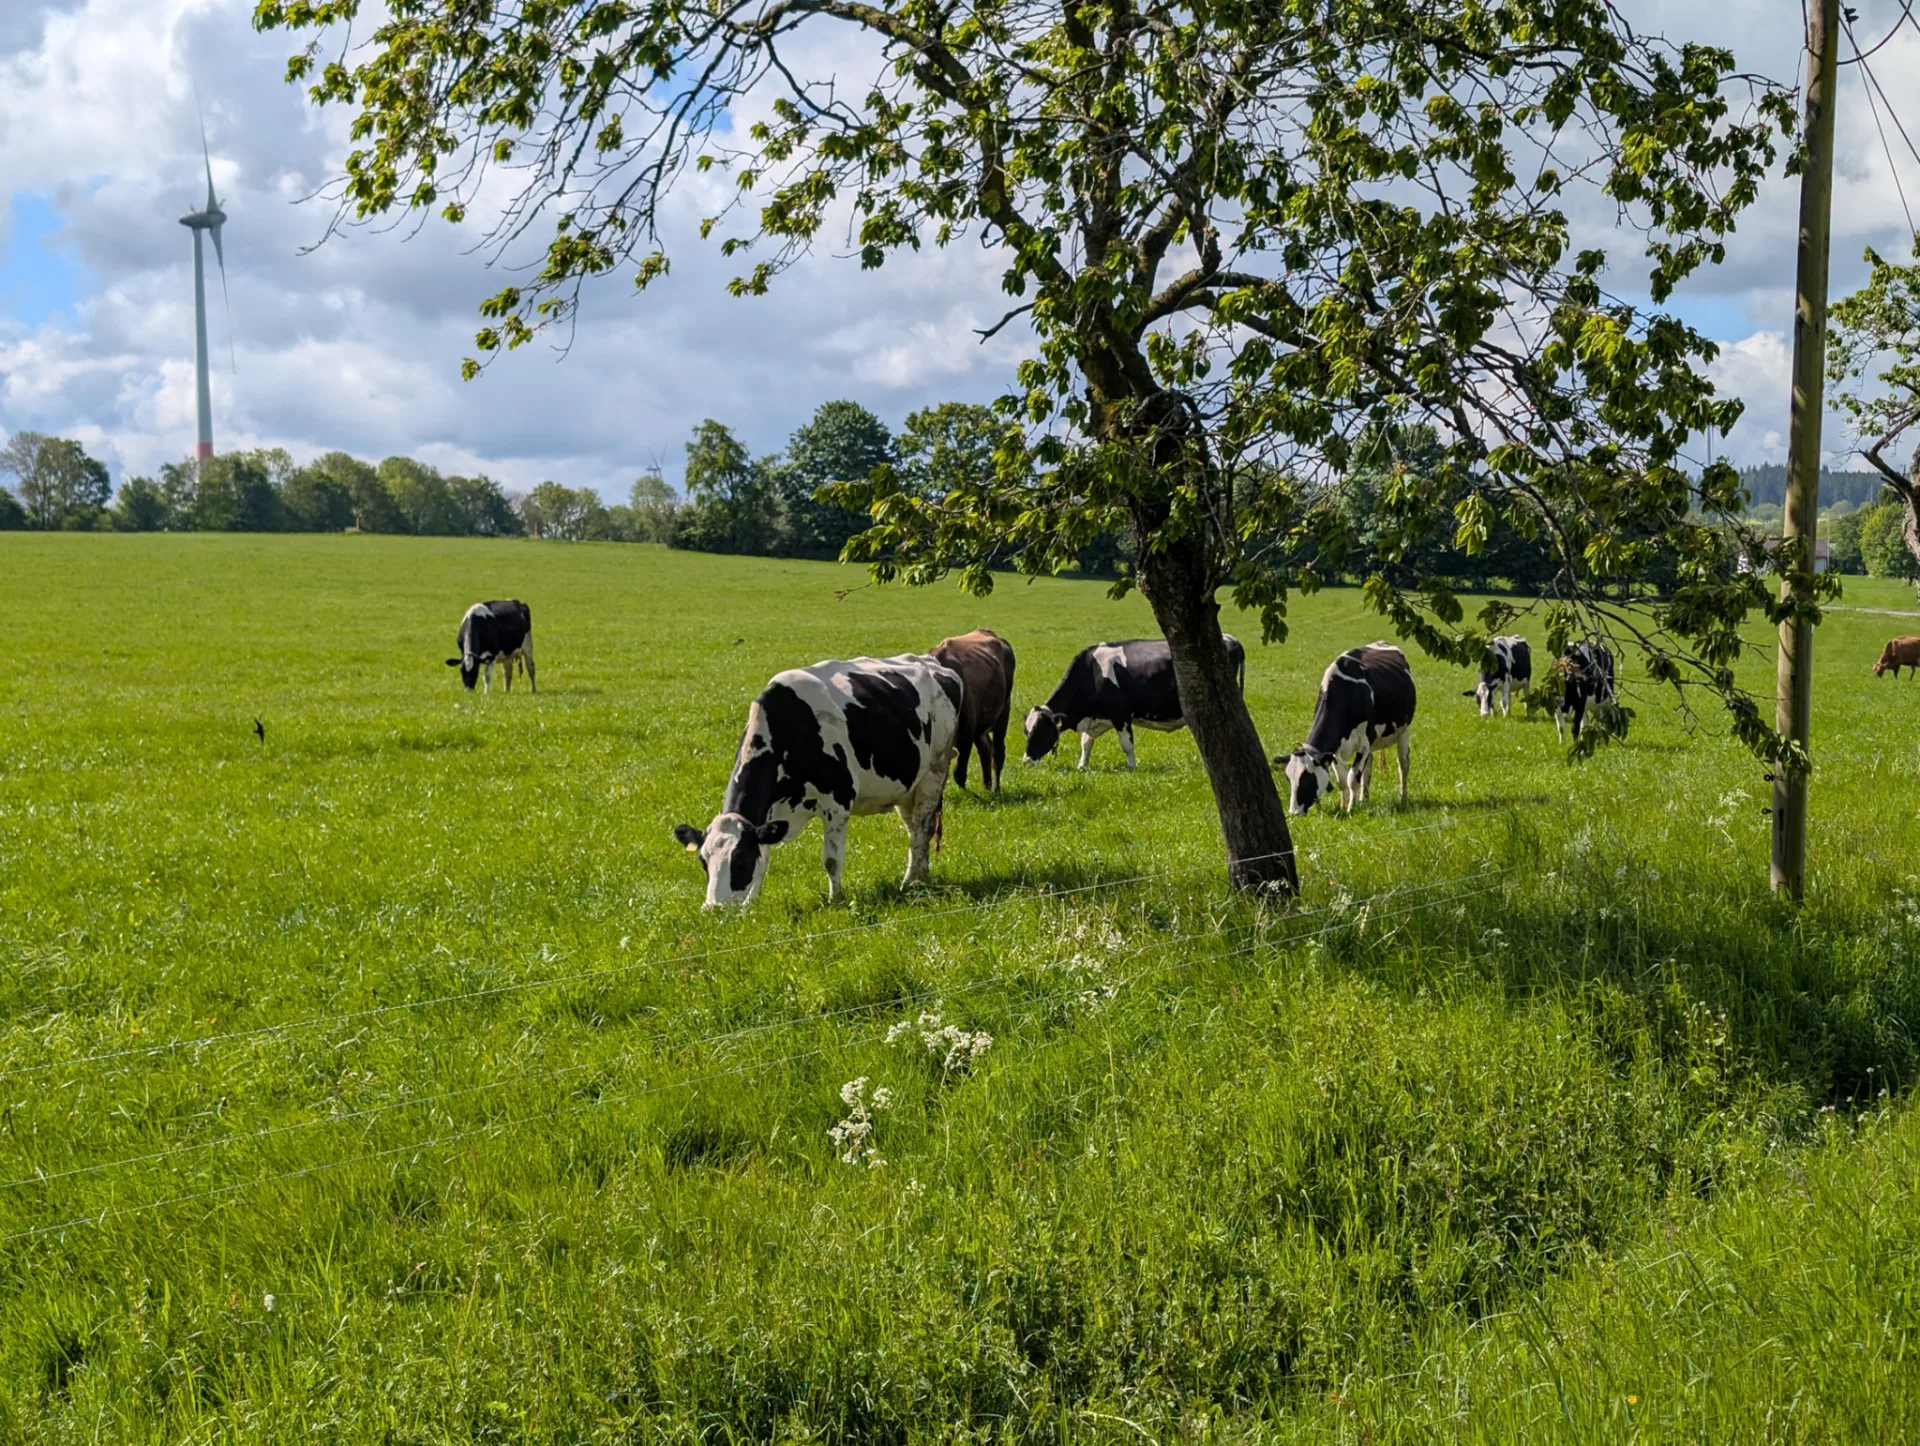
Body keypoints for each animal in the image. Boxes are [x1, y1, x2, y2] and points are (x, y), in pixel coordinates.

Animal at [672, 655, 962, 907]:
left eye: (740, 860)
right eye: (703, 861)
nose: (713, 908)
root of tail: (932, 663)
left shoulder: (838, 803)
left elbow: (831, 860)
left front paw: (836, 899)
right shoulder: (768, 817)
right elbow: (764, 859)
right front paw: (750, 904)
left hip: (933, 774)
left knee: (921, 830)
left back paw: (911, 882)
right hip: (907, 788)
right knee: (916, 830)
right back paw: (920, 876)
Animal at [931, 628, 1017, 791]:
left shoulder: (966, 734)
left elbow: (959, 774)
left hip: (1003, 711)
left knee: (997, 752)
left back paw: (995, 788)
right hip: (981, 725)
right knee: (985, 749)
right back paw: (987, 786)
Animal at [1023, 636, 1245, 770]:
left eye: (1040, 731)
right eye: (1026, 731)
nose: (1026, 761)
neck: (1092, 673)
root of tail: (1231, 639)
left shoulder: (1120, 714)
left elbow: (1126, 744)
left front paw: (1132, 768)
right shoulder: (1098, 717)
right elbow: (1086, 742)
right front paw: (1082, 766)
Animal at [1279, 643, 1417, 815]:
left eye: (1306, 780)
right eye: (1288, 779)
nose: (1293, 812)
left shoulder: (1364, 743)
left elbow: (1352, 778)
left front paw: (1351, 808)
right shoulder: (1335, 750)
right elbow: (1342, 780)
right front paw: (1343, 806)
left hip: (1404, 731)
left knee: (1403, 765)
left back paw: (1402, 798)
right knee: (1368, 769)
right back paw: (1364, 799)